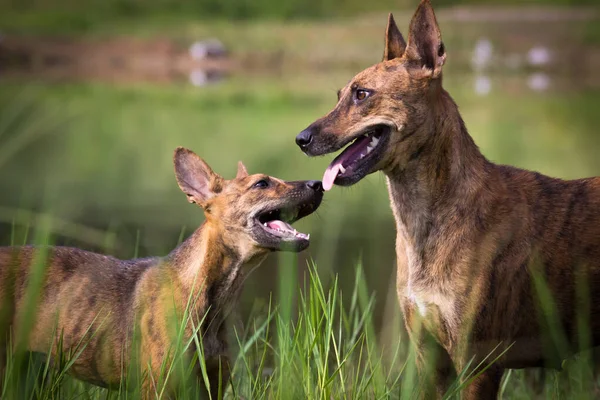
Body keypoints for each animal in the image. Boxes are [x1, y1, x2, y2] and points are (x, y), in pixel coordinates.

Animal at [294, 1, 600, 398]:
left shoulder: (478, 363)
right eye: (340, 95)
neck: (429, 221)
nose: (301, 139)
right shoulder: (429, 359)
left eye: (362, 94)